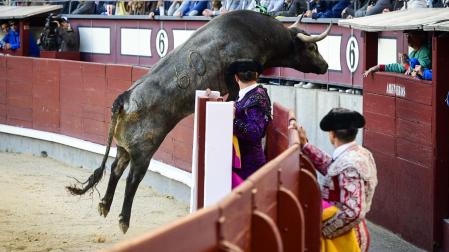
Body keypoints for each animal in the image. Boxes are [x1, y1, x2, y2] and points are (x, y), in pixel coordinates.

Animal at [66, 10, 330, 233]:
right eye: (313, 47)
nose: (326, 66)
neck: (260, 34)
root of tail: (124, 98)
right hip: (144, 149)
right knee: (132, 178)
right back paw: (123, 219)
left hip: (124, 146)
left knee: (115, 168)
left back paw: (105, 205)